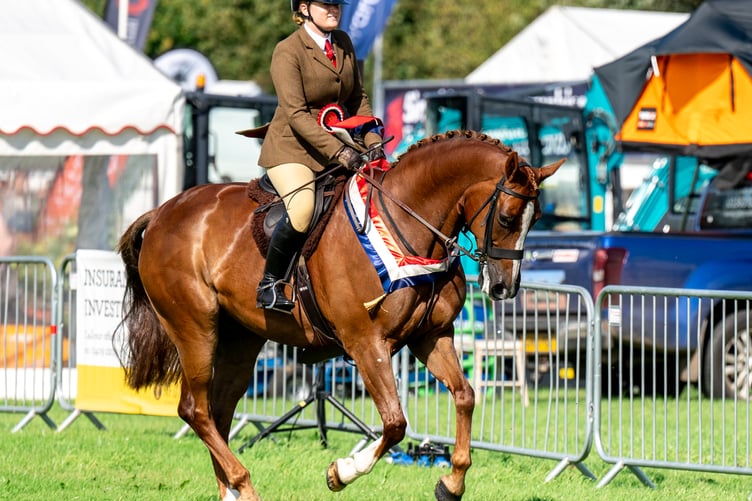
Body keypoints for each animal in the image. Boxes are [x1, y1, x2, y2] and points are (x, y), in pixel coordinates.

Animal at [116, 130, 563, 501]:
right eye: (506, 217)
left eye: (537, 219)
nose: (504, 288)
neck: (405, 228)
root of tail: (162, 213)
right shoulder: (366, 344)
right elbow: (395, 422)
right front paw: (342, 471)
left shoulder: (431, 336)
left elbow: (465, 396)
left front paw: (451, 484)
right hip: (195, 328)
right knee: (195, 410)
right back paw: (245, 485)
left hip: (240, 338)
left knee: (218, 412)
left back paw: (232, 491)